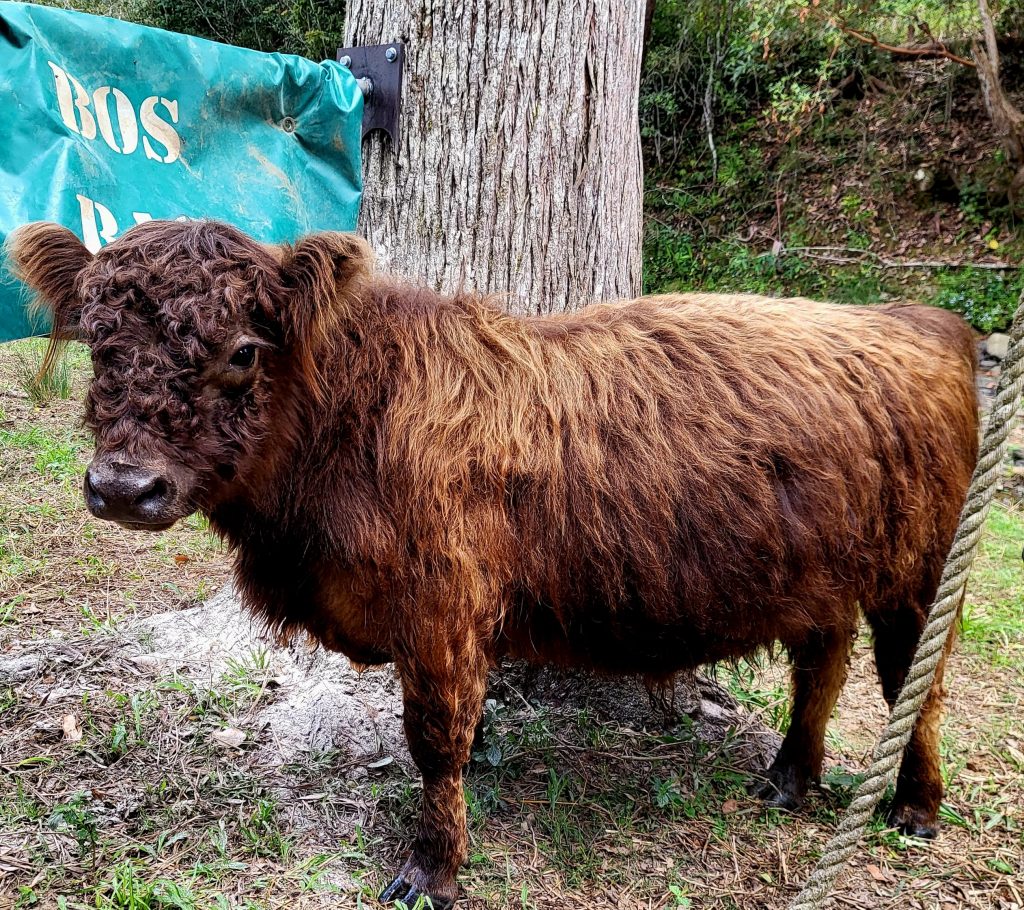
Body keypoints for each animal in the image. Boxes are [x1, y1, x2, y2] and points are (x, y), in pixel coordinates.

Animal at [12, 220, 978, 908]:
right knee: (823, 664)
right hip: (822, 573)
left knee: (913, 681)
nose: (123, 486)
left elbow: (437, 742)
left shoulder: (443, 611)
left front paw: (431, 871)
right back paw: (789, 779)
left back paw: (916, 808)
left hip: (917, 570)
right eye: (97, 339)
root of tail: (912, 321)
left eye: (243, 350)